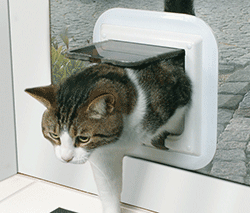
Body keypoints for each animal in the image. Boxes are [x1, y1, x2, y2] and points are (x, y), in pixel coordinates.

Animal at [25, 1, 193, 213]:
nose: (66, 159)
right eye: (54, 135)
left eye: (83, 138)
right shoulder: (102, 156)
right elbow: (108, 189)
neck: (121, 137)